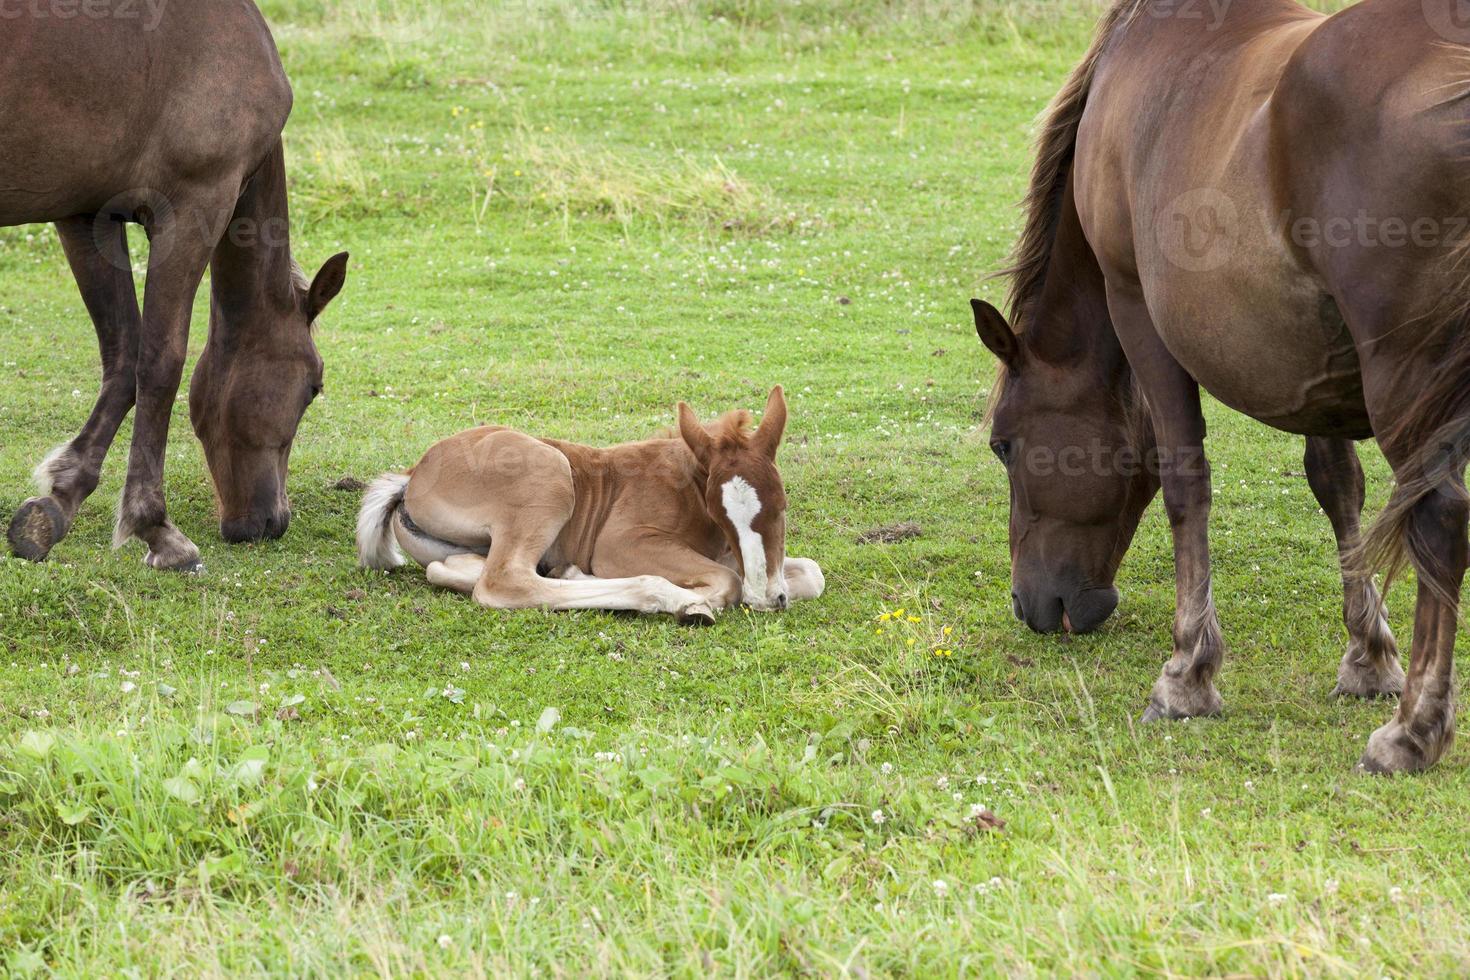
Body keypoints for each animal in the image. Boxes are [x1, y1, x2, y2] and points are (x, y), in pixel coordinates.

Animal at [1, 0, 348, 570]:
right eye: (314, 387)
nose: (272, 523)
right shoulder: (193, 208)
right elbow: (160, 363)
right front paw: (156, 528)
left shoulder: (87, 214)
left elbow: (122, 359)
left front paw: (57, 504)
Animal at [349, 387, 823, 625]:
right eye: (721, 518)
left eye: (781, 507)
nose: (766, 599)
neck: (688, 481)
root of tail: (413, 473)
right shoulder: (622, 543)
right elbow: (727, 581)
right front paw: (695, 602)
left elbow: (811, 574)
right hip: (551, 475)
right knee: (502, 582)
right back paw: (665, 597)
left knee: (453, 569)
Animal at [976, 0, 1470, 775]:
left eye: (1003, 446)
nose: (1030, 606)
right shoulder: (1313, 353)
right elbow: (1337, 484)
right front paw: (1367, 656)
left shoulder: (1136, 307)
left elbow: (1185, 482)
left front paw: (1188, 674)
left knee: (1440, 522)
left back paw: (1414, 731)